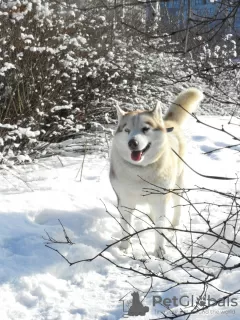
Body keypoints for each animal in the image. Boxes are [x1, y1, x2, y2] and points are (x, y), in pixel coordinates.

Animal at [109, 88, 203, 258]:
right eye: (127, 130)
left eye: (145, 129)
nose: (132, 143)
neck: (140, 170)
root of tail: (168, 123)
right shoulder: (125, 201)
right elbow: (126, 227)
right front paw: (124, 248)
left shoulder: (161, 199)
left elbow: (160, 228)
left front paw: (159, 250)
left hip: (176, 187)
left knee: (177, 208)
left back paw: (174, 226)